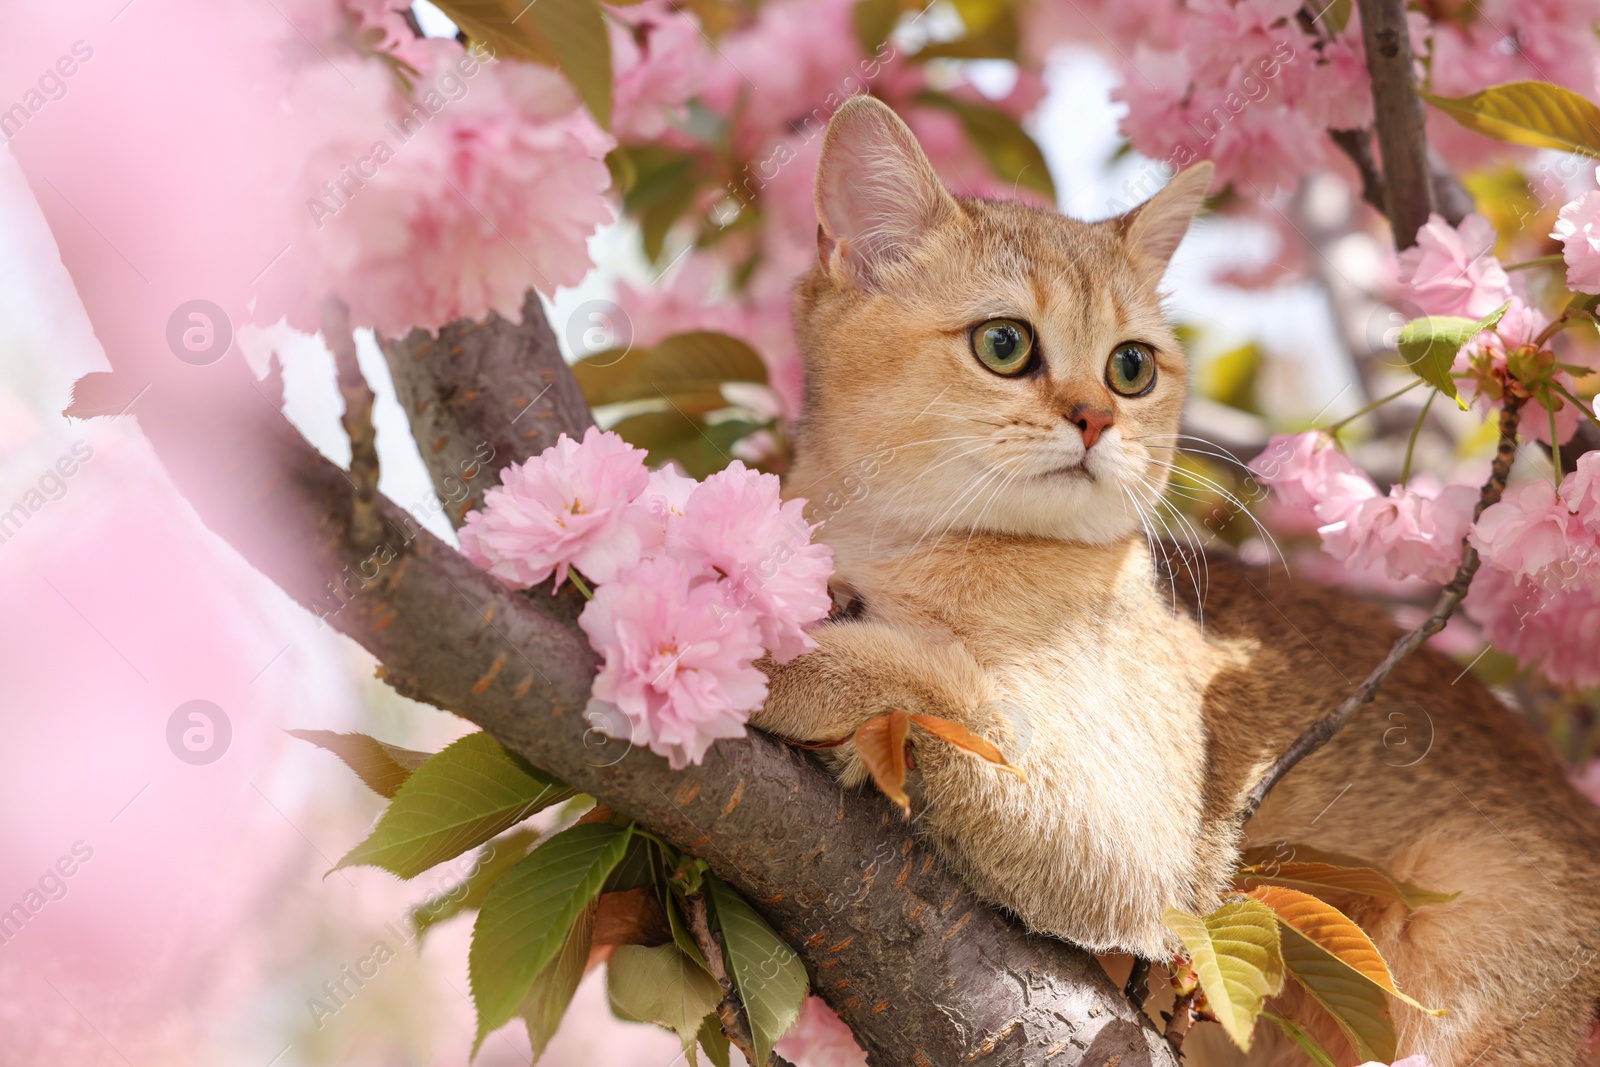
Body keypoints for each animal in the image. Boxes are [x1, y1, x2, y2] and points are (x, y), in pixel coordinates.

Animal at [755, 93, 1600, 1067]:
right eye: (1004, 343)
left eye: (1132, 366)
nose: (1095, 418)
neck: (896, 546)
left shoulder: (1134, 837)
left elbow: (936, 689)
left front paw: (745, 655)